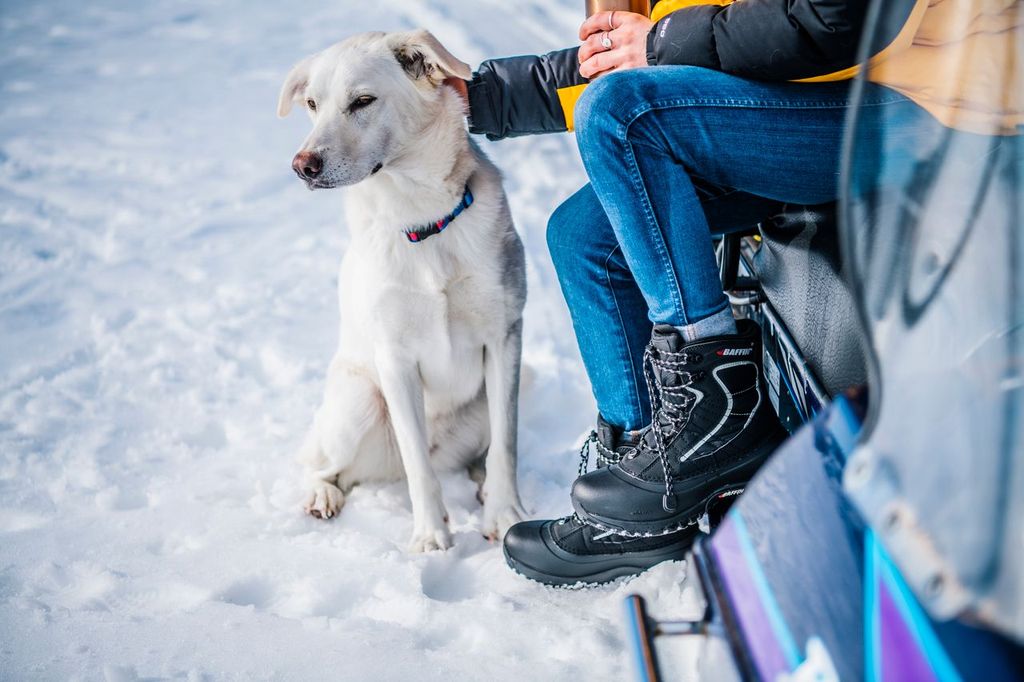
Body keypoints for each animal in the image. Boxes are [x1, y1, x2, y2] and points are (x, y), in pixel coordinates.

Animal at [278, 30, 527, 552]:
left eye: (362, 101)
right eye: (312, 104)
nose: (302, 165)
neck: (422, 219)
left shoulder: (505, 339)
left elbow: (506, 444)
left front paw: (505, 514)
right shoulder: (395, 359)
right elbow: (419, 467)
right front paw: (431, 538)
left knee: (479, 454)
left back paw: (482, 485)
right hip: (357, 403)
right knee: (327, 468)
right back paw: (321, 496)